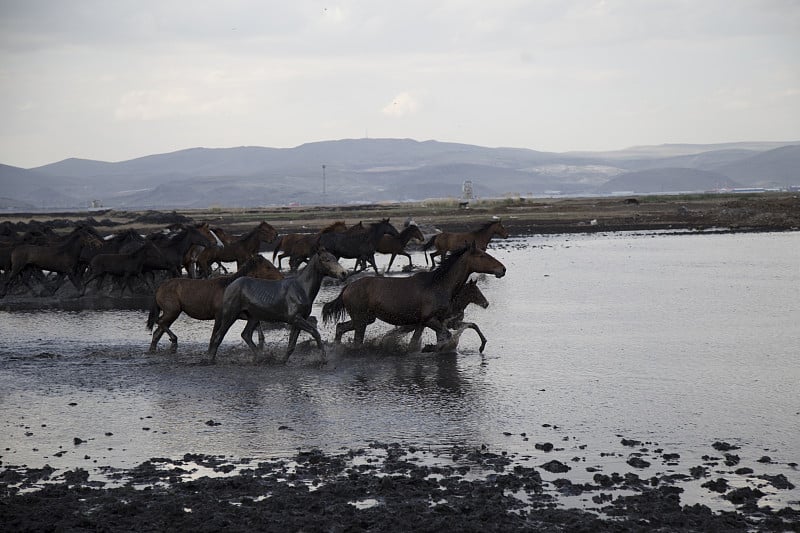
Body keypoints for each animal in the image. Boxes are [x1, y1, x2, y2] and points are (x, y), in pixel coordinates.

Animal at [148, 254, 284, 354]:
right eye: (268, 267)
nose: (281, 278)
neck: (230, 287)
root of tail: (159, 288)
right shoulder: (219, 315)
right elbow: (214, 336)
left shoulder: (239, 314)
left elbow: (256, 321)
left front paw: (261, 342)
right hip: (173, 310)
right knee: (159, 322)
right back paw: (174, 342)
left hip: (172, 312)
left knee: (158, 330)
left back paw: (156, 348)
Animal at [206, 247, 346, 364]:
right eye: (326, 259)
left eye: (335, 258)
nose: (343, 273)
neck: (301, 288)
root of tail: (230, 286)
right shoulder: (295, 318)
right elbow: (315, 332)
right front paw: (323, 358)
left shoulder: (299, 320)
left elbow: (292, 344)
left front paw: (283, 360)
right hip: (230, 315)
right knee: (218, 337)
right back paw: (210, 360)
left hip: (253, 317)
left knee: (246, 335)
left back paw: (261, 357)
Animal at [322, 240, 504, 350]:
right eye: (482, 255)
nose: (502, 269)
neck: (439, 285)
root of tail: (347, 287)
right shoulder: (429, 320)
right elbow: (443, 338)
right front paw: (429, 348)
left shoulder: (431, 321)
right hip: (361, 320)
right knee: (354, 339)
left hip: (366, 319)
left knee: (340, 327)